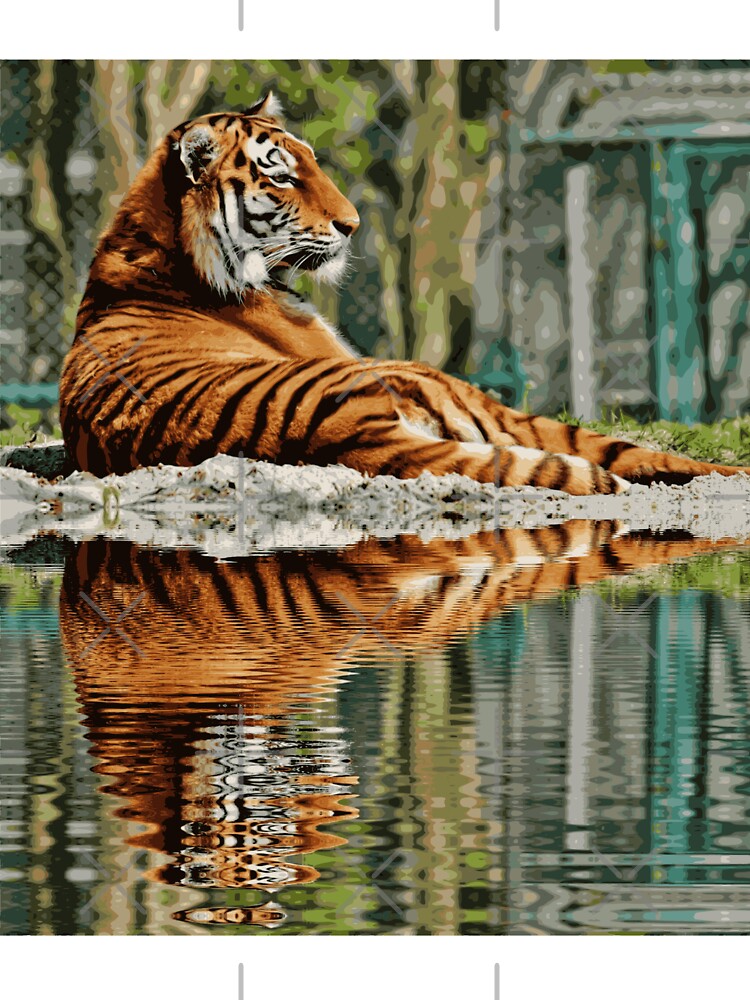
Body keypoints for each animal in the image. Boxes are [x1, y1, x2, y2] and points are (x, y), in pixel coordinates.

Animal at [59, 92, 750, 495]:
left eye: (313, 161)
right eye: (281, 176)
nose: (352, 223)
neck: (167, 249)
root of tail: (337, 433)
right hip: (446, 390)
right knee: (609, 450)